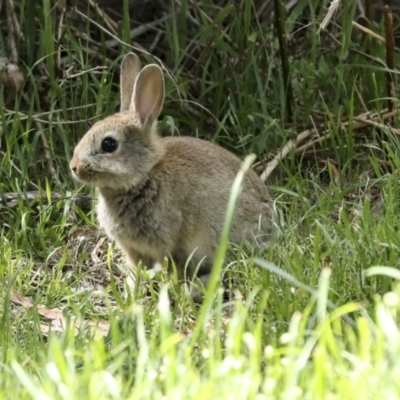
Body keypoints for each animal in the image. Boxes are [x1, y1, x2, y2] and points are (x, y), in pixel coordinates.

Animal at [70, 52, 274, 300]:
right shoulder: (134, 250)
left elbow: (175, 270)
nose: (74, 167)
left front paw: (172, 292)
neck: (143, 177)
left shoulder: (173, 245)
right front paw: (132, 290)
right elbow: (137, 270)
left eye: (109, 144)